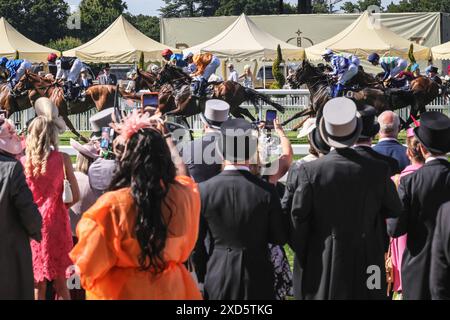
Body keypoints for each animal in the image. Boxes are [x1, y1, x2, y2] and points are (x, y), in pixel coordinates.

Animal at [284, 60, 420, 130]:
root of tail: (382, 91)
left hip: (381, 110)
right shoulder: (312, 108)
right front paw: (283, 124)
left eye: (298, 70)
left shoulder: (319, 110)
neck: (320, 88)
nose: (289, 80)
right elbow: (296, 114)